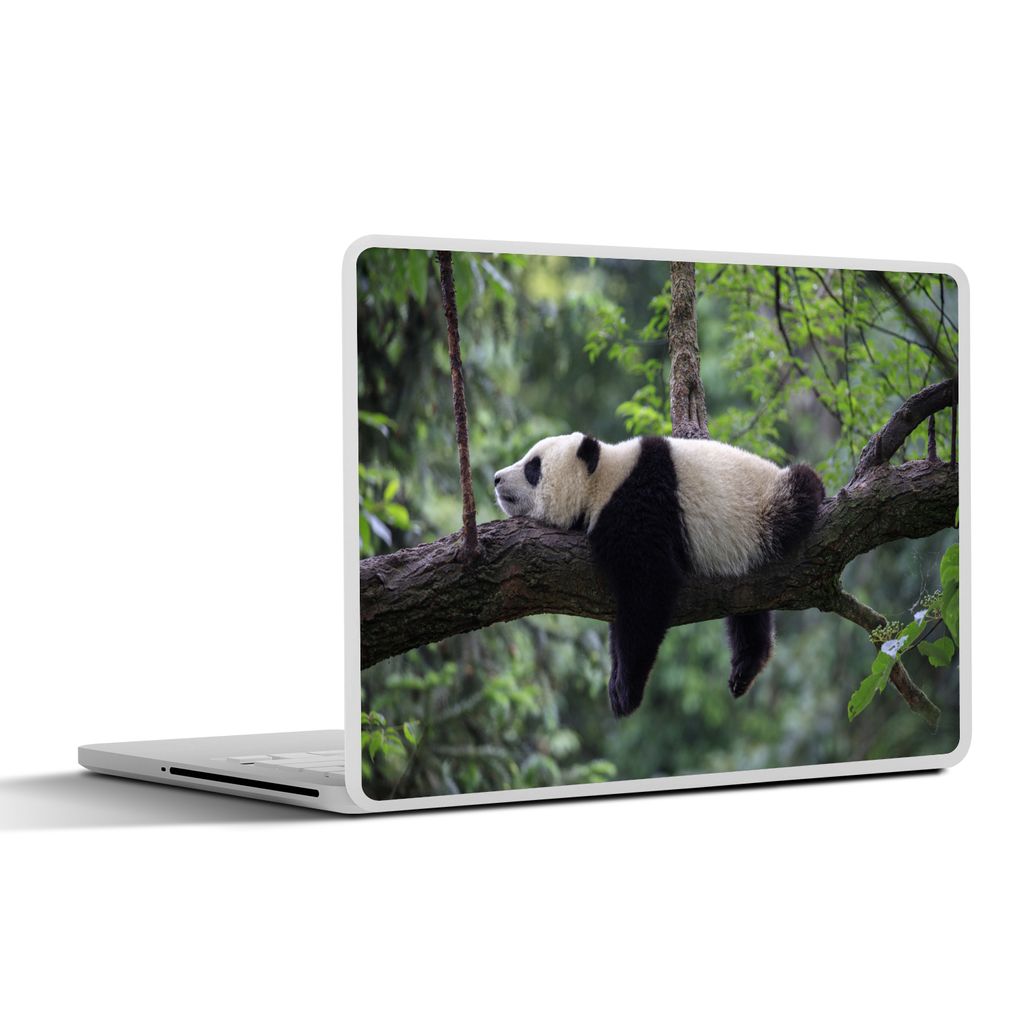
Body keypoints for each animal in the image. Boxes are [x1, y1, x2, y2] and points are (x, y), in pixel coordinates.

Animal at [493, 432, 825, 717]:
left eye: (533, 467)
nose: (496, 478)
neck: (603, 479)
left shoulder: (639, 507)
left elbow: (648, 590)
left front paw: (625, 690)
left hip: (765, 509)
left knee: (801, 488)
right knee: (749, 607)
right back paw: (747, 665)